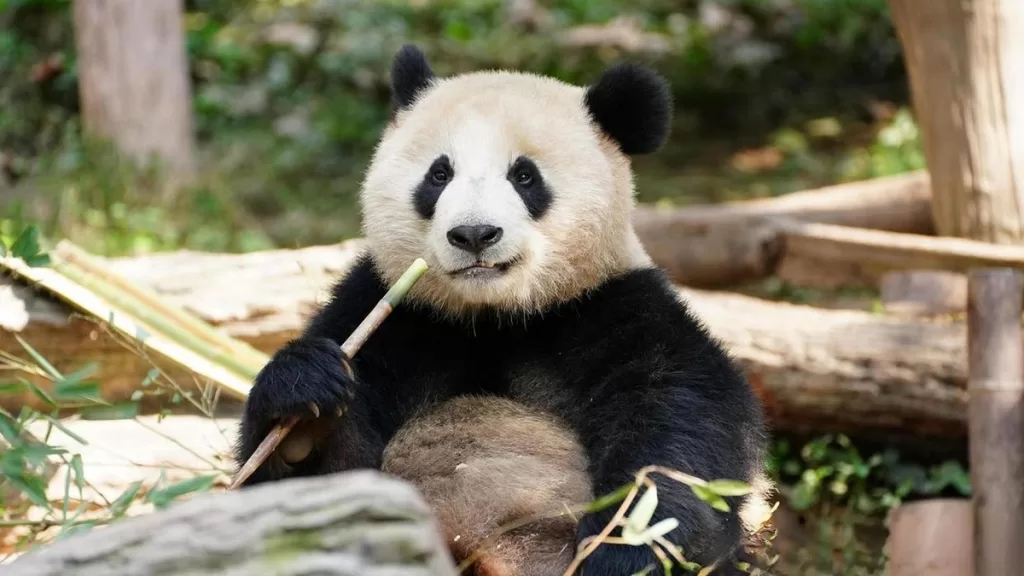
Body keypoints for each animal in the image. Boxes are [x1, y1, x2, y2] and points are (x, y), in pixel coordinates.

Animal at [234, 44, 771, 576]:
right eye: (439, 174)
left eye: (524, 176)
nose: (474, 234)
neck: (493, 316)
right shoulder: (392, 315)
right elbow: (314, 498)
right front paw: (305, 413)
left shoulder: (616, 311)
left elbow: (679, 439)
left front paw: (621, 551)